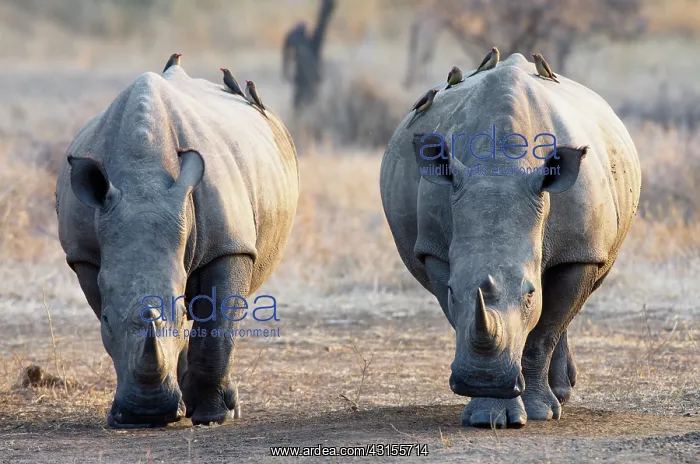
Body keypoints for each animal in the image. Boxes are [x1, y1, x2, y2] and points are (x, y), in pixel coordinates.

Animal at [55, 66, 299, 428]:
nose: (147, 414)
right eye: (107, 321)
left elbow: (216, 327)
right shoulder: (85, 256)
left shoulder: (228, 246)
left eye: (181, 310)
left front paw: (214, 416)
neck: (142, 177)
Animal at [380, 54, 640, 427]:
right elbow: (463, 318)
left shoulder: (580, 250)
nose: (481, 380)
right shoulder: (436, 251)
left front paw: (539, 412)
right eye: (452, 290)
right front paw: (487, 415)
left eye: (529, 293)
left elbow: (544, 332)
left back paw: (559, 395)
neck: (499, 168)